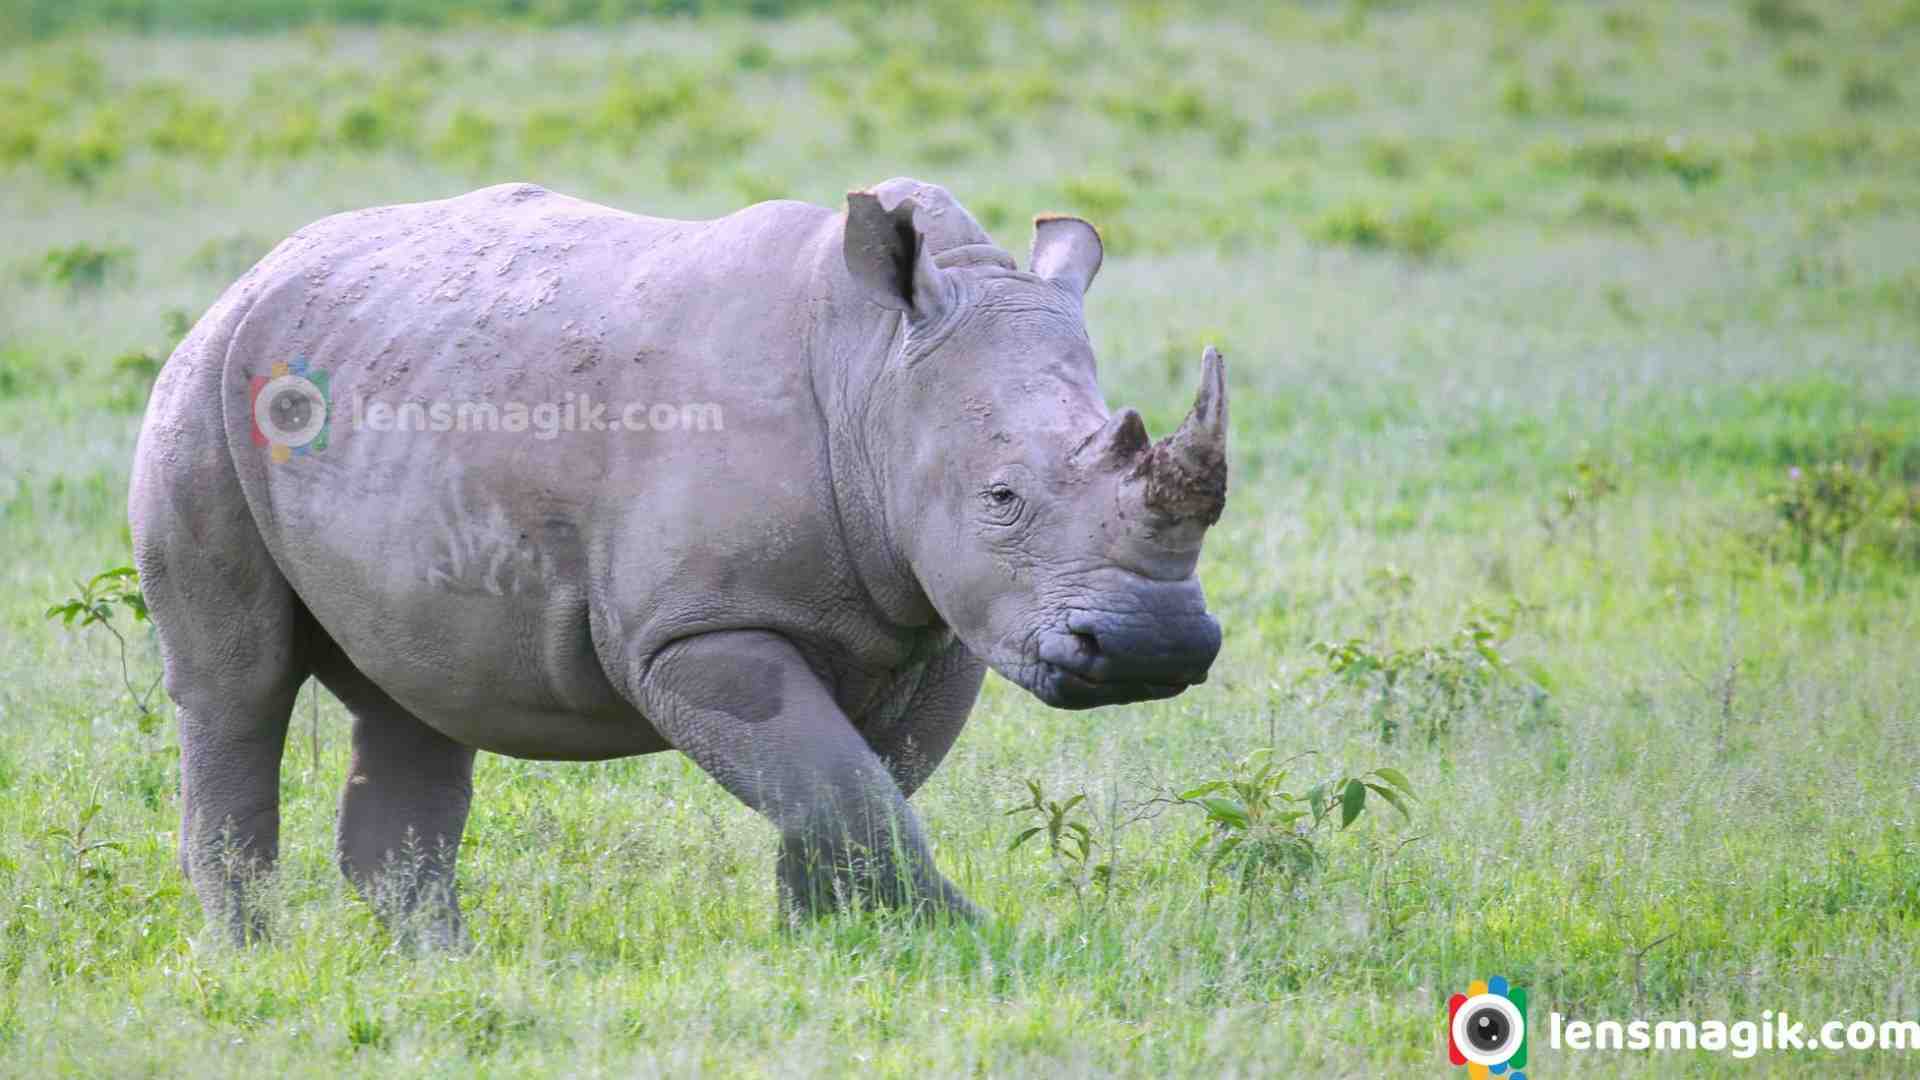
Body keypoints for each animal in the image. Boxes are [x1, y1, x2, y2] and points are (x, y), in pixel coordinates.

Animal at [129, 177, 1229, 942]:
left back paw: (438, 967)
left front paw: (838, 945)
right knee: (237, 685)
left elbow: (856, 792)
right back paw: (254, 958)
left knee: (416, 696)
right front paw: (967, 943)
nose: (1157, 649)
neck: (875, 372)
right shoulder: (698, 632)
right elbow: (842, 790)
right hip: (205, 388)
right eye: (1002, 498)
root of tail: (257, 270)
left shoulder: (940, 623)